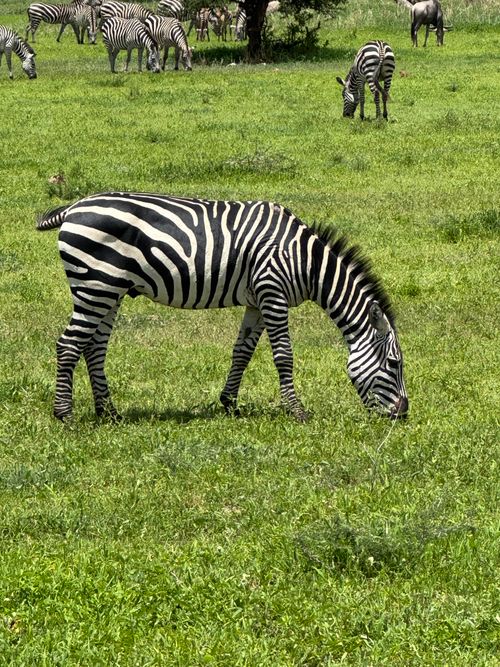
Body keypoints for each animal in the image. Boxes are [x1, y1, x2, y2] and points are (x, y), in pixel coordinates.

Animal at [36, 192, 408, 423]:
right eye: (394, 364)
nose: (403, 414)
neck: (305, 261)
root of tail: (73, 208)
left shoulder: (258, 300)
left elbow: (242, 351)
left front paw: (229, 403)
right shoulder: (273, 291)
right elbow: (283, 355)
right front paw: (297, 410)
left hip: (108, 289)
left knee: (93, 347)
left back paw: (109, 412)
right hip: (95, 285)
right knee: (68, 345)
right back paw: (65, 414)